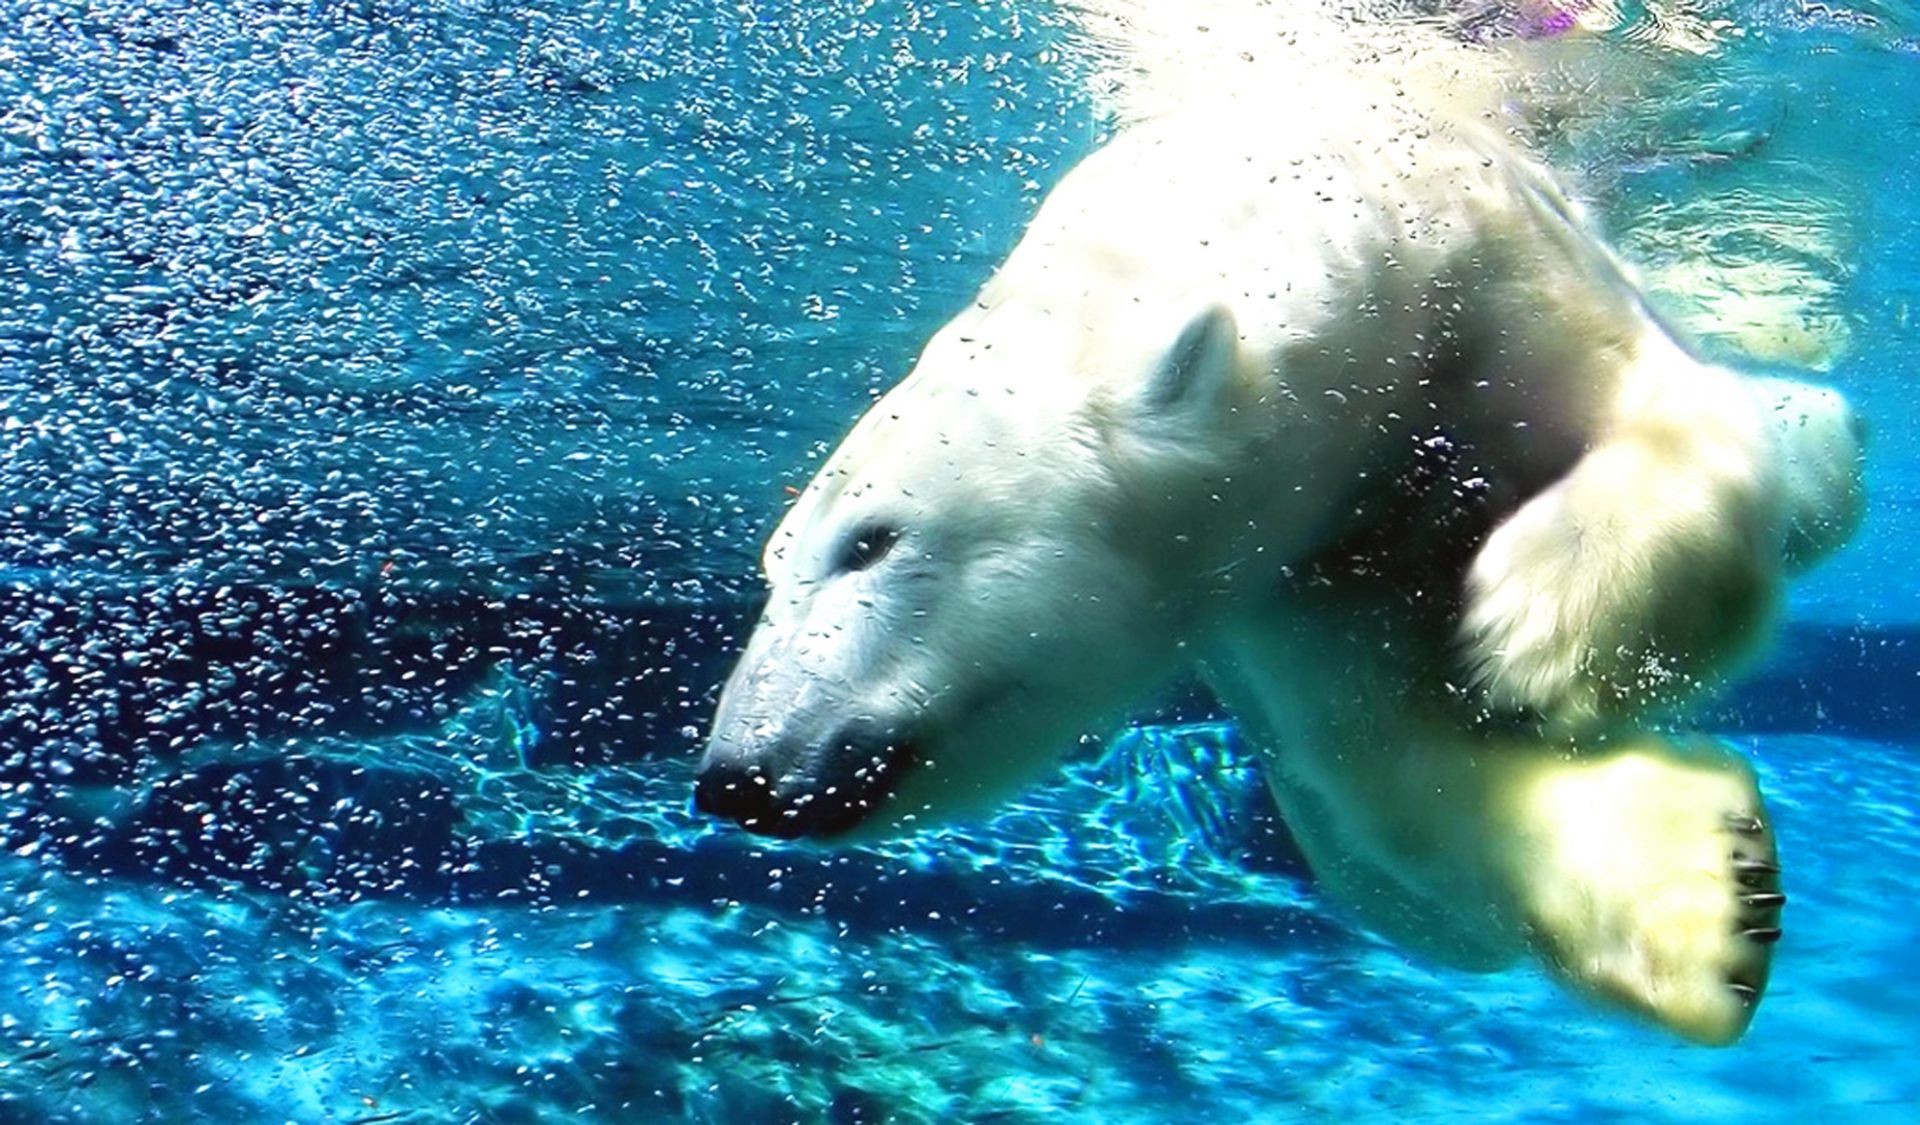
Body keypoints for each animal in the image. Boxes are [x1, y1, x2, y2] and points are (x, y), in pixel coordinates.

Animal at [694, 1, 1864, 1046]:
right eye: (773, 566)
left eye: (871, 541)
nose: (739, 778)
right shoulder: (1281, 577)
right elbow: (1387, 761)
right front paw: (1712, 896)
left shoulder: (1488, 274)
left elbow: (1661, 414)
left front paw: (1539, 627)